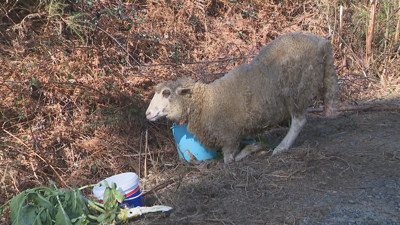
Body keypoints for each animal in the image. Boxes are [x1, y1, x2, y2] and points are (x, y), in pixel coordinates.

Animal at [145, 33, 340, 163]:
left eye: (166, 93)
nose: (147, 113)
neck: (206, 102)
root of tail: (323, 43)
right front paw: (256, 147)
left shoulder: (229, 137)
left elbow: (230, 160)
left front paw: (253, 149)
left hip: (296, 90)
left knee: (299, 120)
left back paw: (281, 147)